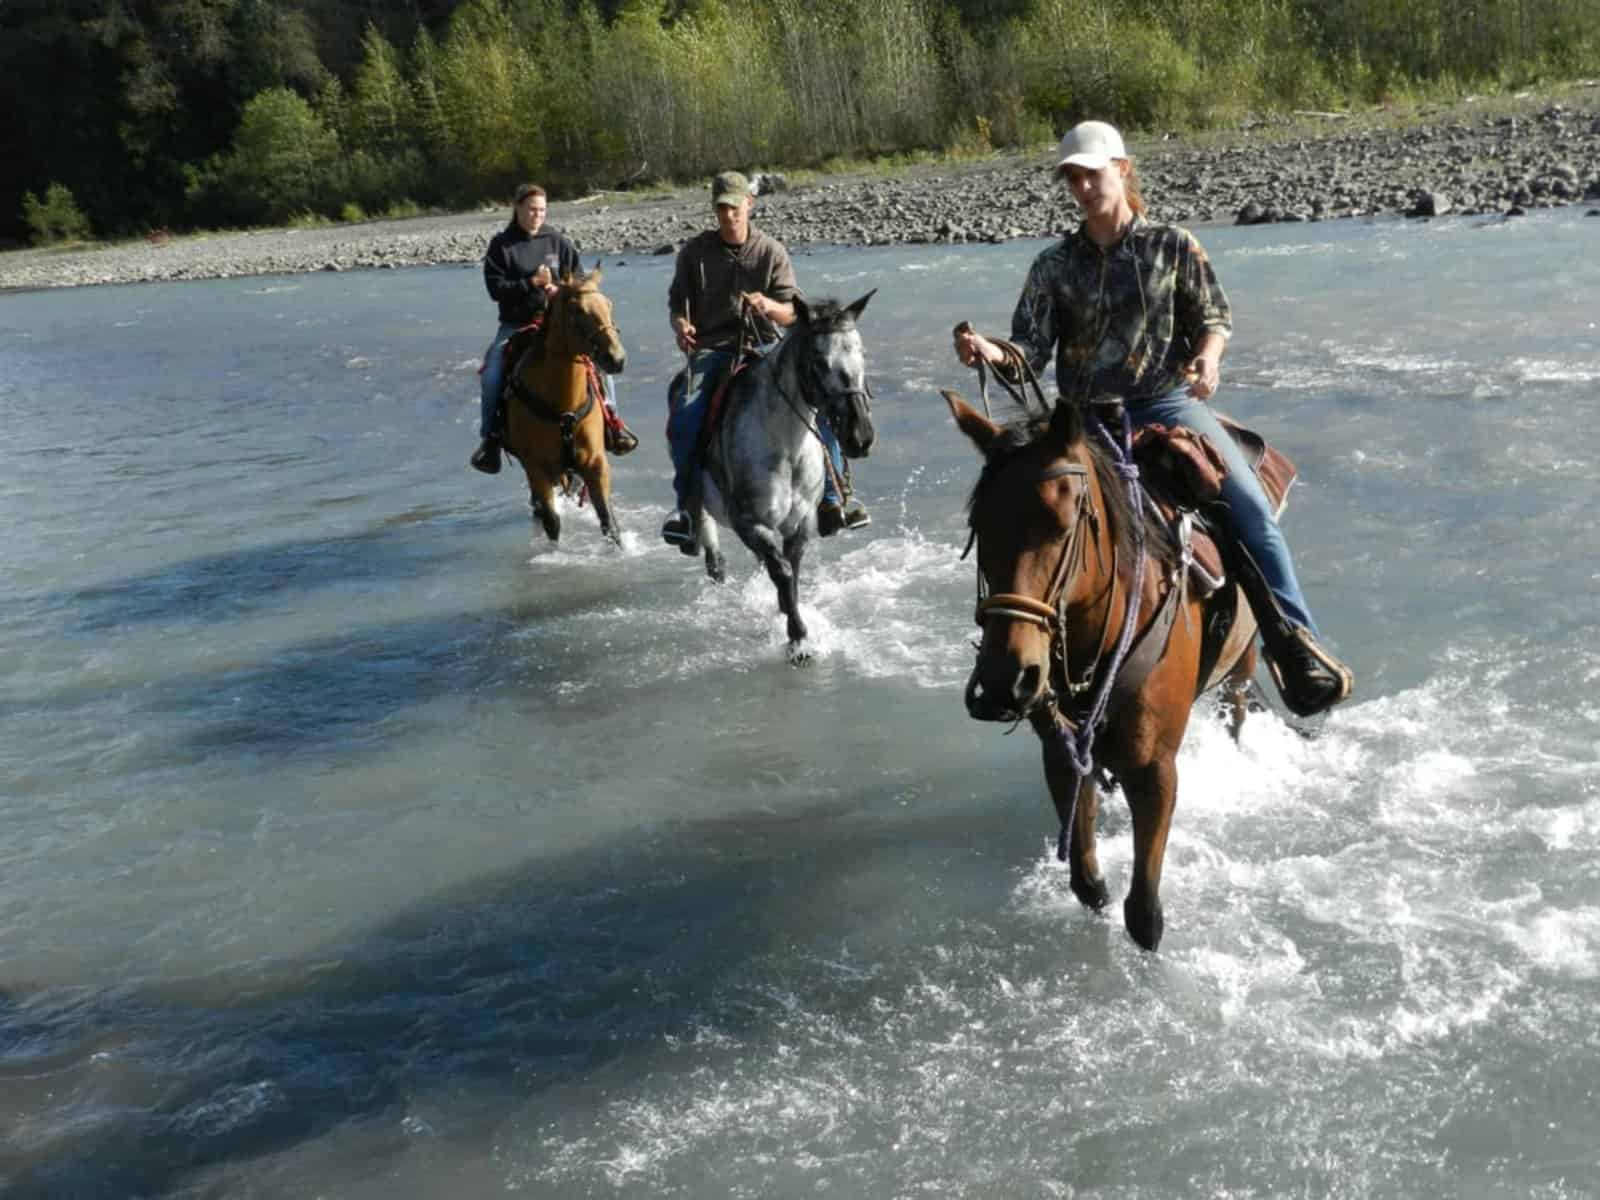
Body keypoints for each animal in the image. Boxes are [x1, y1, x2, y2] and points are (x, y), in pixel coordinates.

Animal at [502, 270, 627, 547]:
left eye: (609, 304)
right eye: (579, 310)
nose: (617, 359)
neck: (563, 408)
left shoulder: (595, 462)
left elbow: (608, 521)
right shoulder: (535, 468)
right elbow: (552, 523)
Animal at [697, 292, 876, 668]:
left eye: (861, 353)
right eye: (819, 361)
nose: (861, 436)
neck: (785, 447)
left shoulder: (802, 523)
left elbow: (791, 572)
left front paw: (793, 622)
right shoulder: (750, 522)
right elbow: (782, 571)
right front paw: (798, 641)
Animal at [940, 390, 1254, 953]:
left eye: (1062, 525)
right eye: (979, 529)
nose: (1004, 681)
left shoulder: (1155, 770)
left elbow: (1144, 915)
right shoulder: (1061, 752)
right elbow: (1089, 883)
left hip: (1243, 666)